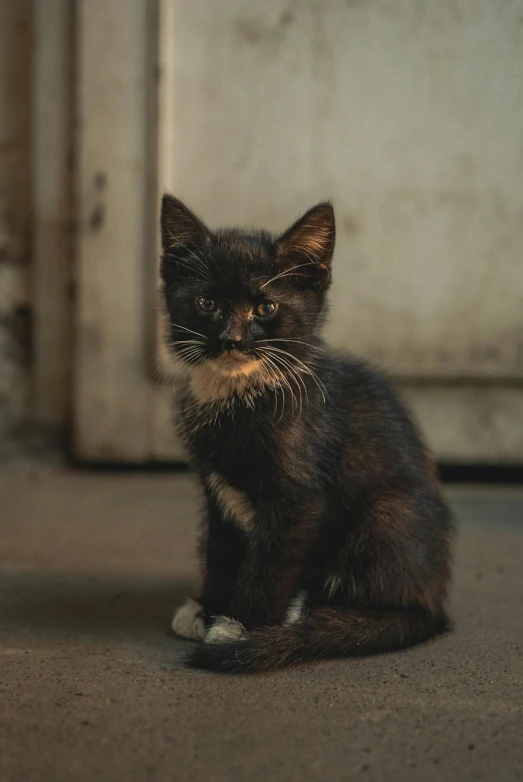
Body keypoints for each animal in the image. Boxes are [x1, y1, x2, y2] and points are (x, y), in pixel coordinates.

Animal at [162, 194, 452, 672]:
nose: (231, 339)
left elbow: (273, 560)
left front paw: (243, 626)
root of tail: (433, 603)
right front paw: (209, 608)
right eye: (206, 303)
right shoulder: (214, 485)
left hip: (388, 514)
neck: (241, 394)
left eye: (265, 308)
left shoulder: (299, 495)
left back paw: (310, 616)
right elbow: (220, 546)